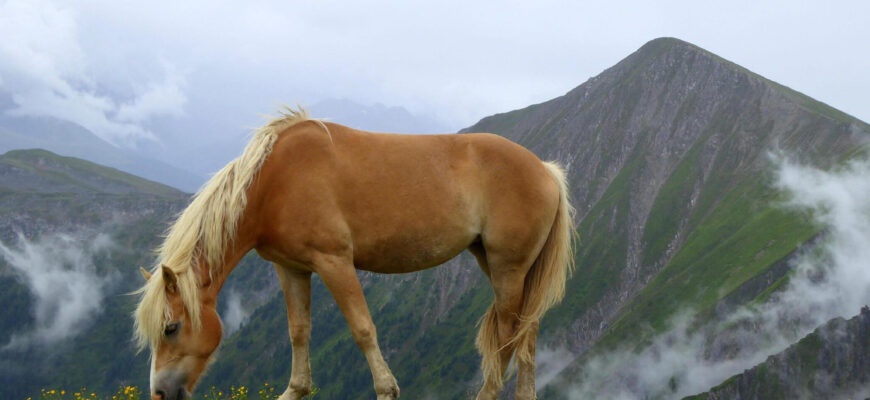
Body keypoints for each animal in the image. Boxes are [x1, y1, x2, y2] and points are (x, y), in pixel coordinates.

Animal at [133, 107, 576, 400]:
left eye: (171, 327)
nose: (160, 394)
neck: (276, 182)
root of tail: (545, 169)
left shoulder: (334, 262)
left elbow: (363, 329)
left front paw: (386, 389)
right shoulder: (290, 269)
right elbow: (298, 331)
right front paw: (295, 390)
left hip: (508, 267)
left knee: (508, 335)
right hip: (502, 266)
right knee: (527, 333)